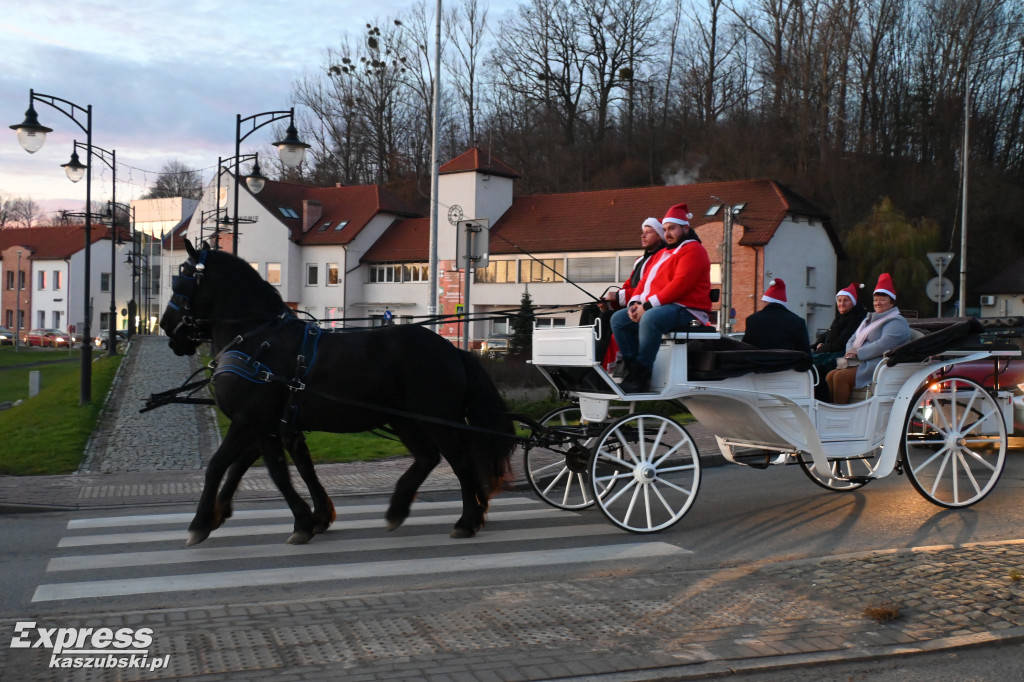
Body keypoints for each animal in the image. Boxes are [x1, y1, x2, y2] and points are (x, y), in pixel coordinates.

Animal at [160, 238, 516, 540]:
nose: (166, 326)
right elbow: (278, 468)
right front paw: (311, 516)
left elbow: (226, 466)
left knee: (460, 458)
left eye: (183, 280)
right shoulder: (267, 425)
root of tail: (454, 350)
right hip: (404, 419)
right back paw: (402, 508)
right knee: (428, 457)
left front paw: (202, 521)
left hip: (435, 419)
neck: (256, 339)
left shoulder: (250, 421)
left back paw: (467, 519)